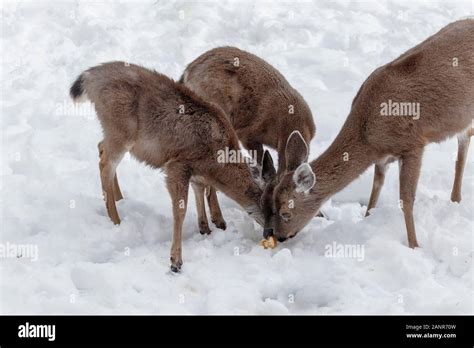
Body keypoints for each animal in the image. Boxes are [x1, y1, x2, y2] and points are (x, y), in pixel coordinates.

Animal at [70, 61, 270, 270]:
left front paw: (206, 228)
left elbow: (200, 189)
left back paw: (119, 199)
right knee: (105, 163)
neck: (217, 159)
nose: (273, 235)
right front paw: (176, 261)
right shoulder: (178, 164)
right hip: (119, 130)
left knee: (101, 148)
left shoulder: (196, 171)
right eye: (273, 209)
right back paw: (116, 219)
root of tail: (88, 77)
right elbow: (180, 210)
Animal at [262, 19, 474, 247]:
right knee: (465, 137)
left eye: (285, 212)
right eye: (269, 203)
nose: (279, 236)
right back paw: (455, 198)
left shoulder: (413, 143)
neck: (368, 138)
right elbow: (376, 188)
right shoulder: (382, 158)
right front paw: (367, 219)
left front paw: (414, 245)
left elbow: (406, 199)